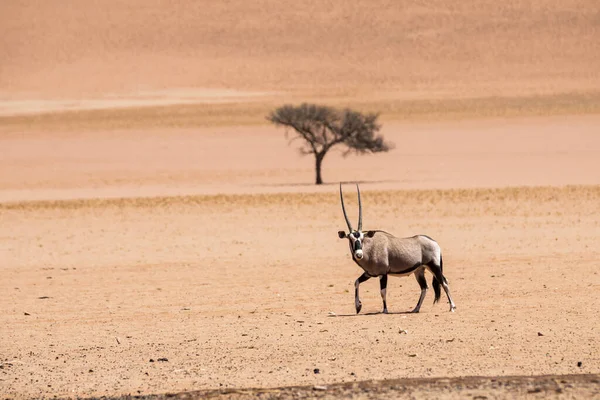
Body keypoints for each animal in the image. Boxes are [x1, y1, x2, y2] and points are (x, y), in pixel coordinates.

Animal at [336, 183, 458, 314]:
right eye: (351, 239)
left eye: (362, 238)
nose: (359, 254)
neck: (371, 248)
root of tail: (435, 243)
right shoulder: (369, 273)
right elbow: (356, 282)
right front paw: (358, 306)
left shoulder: (383, 273)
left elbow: (383, 292)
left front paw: (385, 310)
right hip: (419, 270)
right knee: (424, 287)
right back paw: (416, 308)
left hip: (434, 266)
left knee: (444, 282)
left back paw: (452, 307)